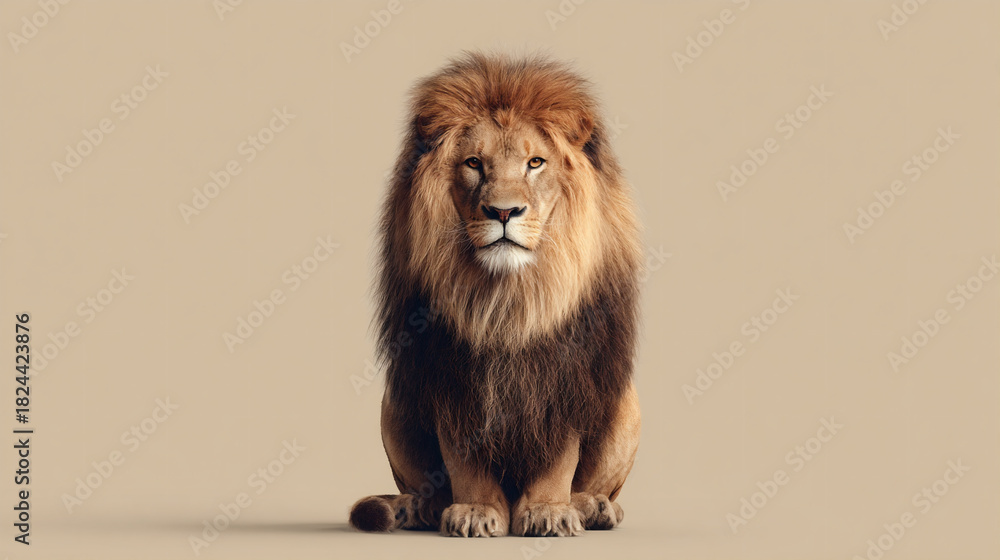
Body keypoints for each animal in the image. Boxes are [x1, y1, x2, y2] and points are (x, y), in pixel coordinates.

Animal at [349, 52, 642, 538]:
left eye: (535, 163)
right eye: (473, 163)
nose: (503, 212)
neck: (508, 299)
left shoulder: (565, 373)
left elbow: (560, 458)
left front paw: (547, 511)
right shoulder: (449, 373)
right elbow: (462, 457)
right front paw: (475, 511)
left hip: (626, 403)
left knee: (599, 487)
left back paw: (592, 507)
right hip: (394, 399)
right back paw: (420, 509)